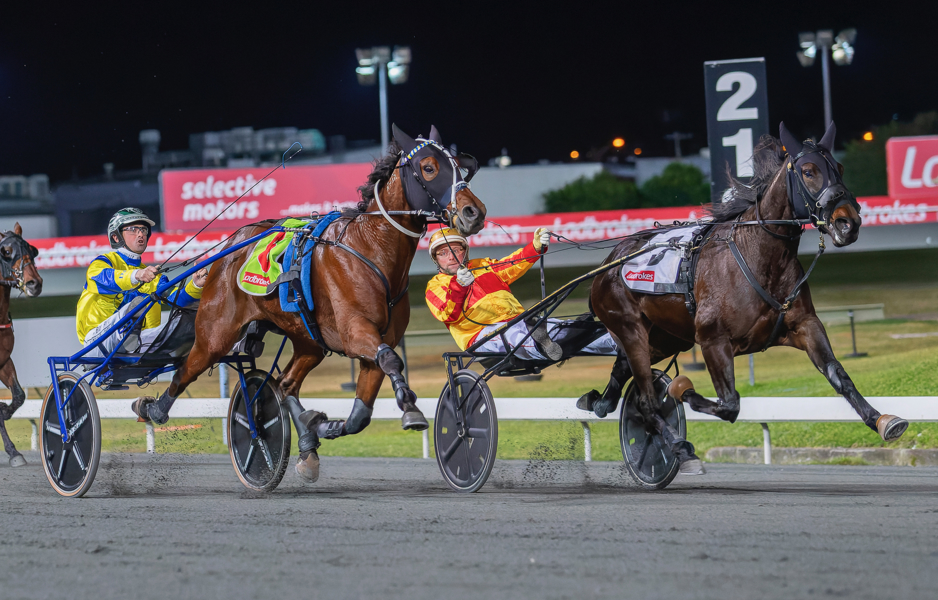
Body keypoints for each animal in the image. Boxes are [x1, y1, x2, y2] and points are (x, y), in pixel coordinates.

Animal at [133, 124, 487, 480]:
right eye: (429, 167)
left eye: (460, 166)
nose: (474, 212)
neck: (371, 249)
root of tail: (230, 246)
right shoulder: (356, 332)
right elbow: (391, 360)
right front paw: (410, 408)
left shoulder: (376, 342)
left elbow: (361, 413)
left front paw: (323, 426)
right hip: (216, 331)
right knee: (187, 369)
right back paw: (153, 409)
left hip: (307, 339)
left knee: (286, 384)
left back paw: (306, 443)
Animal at [587, 121, 907, 472]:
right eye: (808, 171)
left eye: (840, 168)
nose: (848, 222)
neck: (760, 255)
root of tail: (609, 262)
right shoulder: (712, 339)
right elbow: (729, 404)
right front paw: (680, 389)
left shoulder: (804, 325)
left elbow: (839, 375)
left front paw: (883, 420)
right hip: (631, 329)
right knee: (645, 400)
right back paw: (679, 448)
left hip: (665, 337)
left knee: (623, 369)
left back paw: (601, 401)